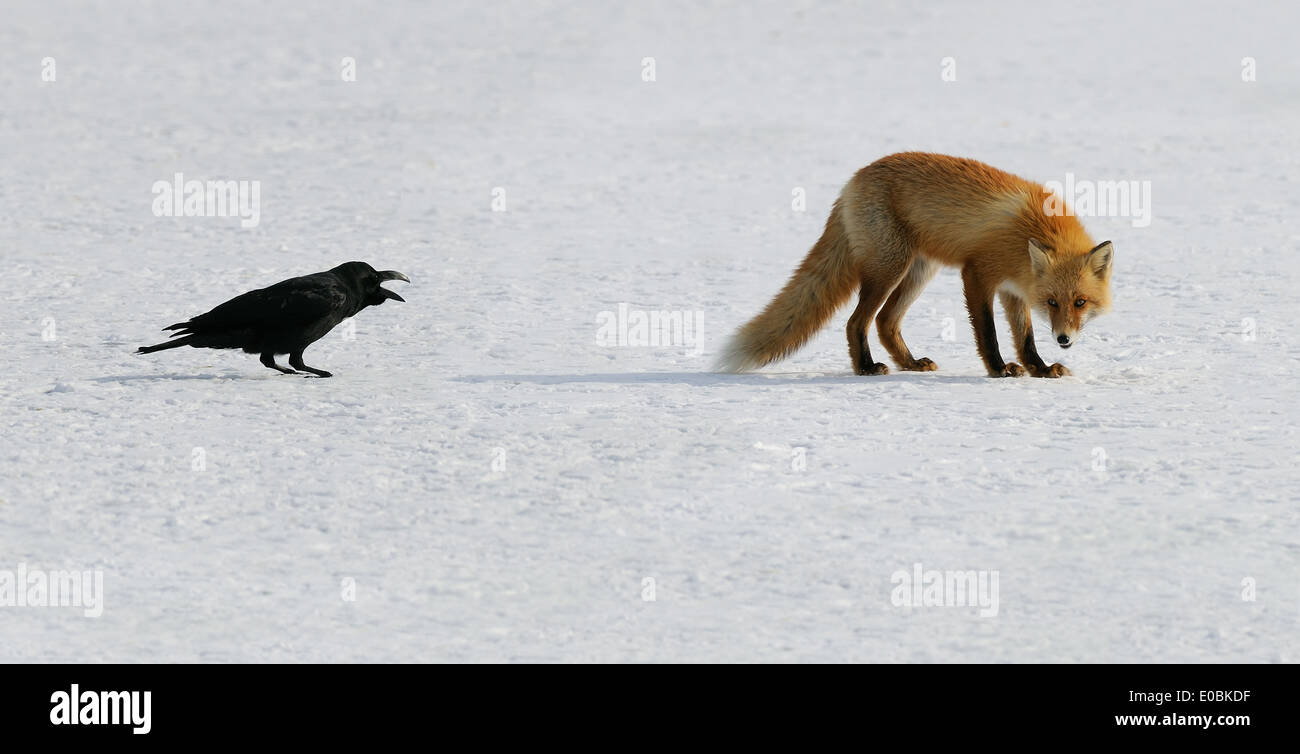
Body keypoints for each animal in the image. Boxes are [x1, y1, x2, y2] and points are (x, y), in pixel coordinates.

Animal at [715, 152, 1114, 378]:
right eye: (1053, 303)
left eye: (1080, 302)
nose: (1063, 339)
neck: (1031, 228)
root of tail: (852, 181)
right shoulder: (977, 274)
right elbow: (988, 333)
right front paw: (999, 369)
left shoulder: (1013, 290)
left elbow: (1025, 338)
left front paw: (1040, 369)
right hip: (889, 268)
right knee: (857, 322)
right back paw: (865, 368)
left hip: (918, 273)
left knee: (885, 322)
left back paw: (909, 364)